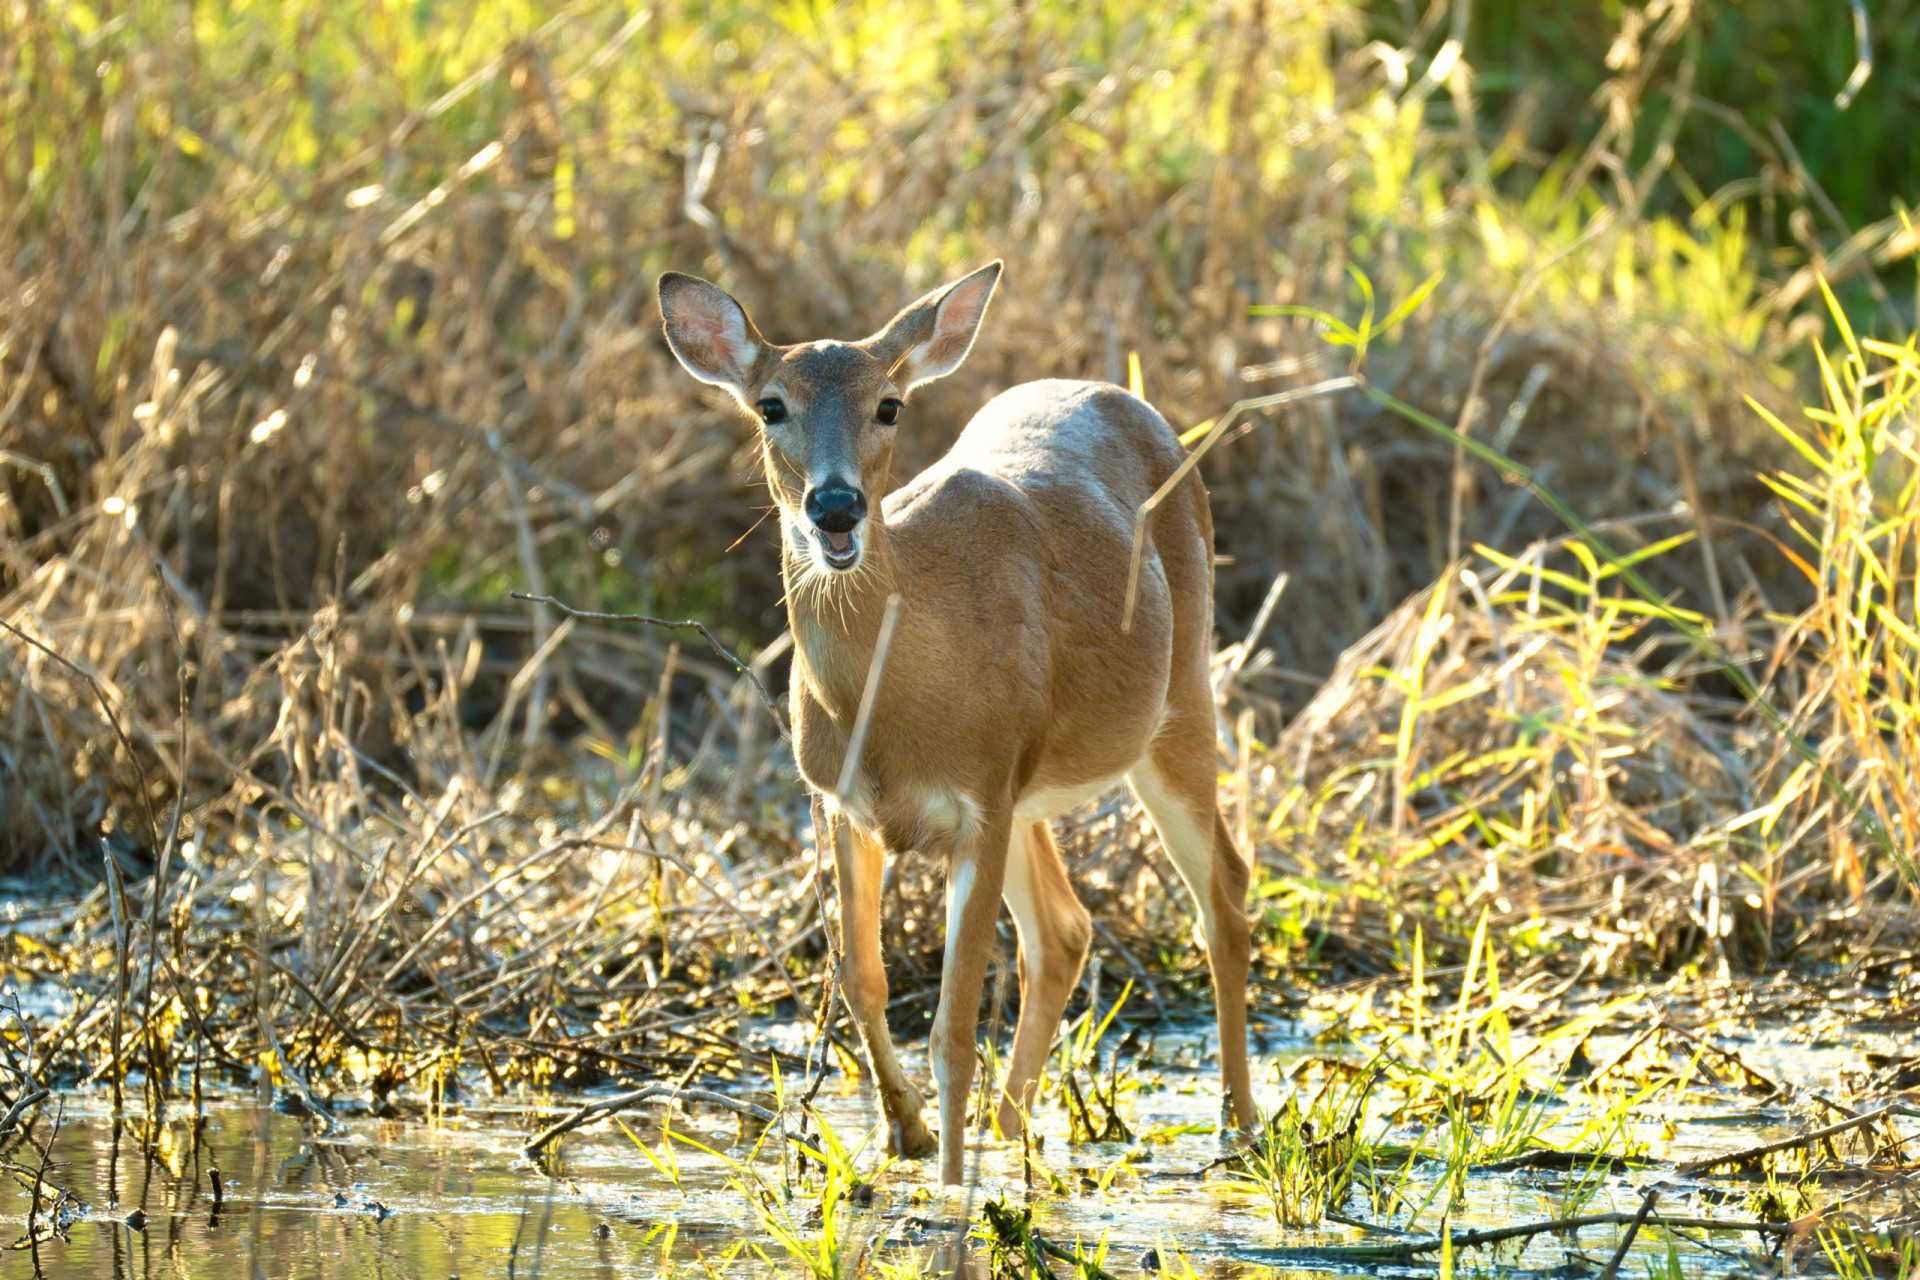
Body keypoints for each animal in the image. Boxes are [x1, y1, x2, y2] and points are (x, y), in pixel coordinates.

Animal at [660, 260, 1259, 1189]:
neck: (892, 700)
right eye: (770, 405)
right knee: (1065, 929)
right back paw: (1010, 1135)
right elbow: (860, 978)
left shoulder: (980, 796)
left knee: (1223, 893)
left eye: (888, 405)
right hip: (1032, 787)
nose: (836, 507)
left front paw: (946, 1190)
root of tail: (1128, 401)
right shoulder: (842, 801)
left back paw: (1239, 1129)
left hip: (1180, 700)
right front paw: (903, 1136)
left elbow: (951, 1029)